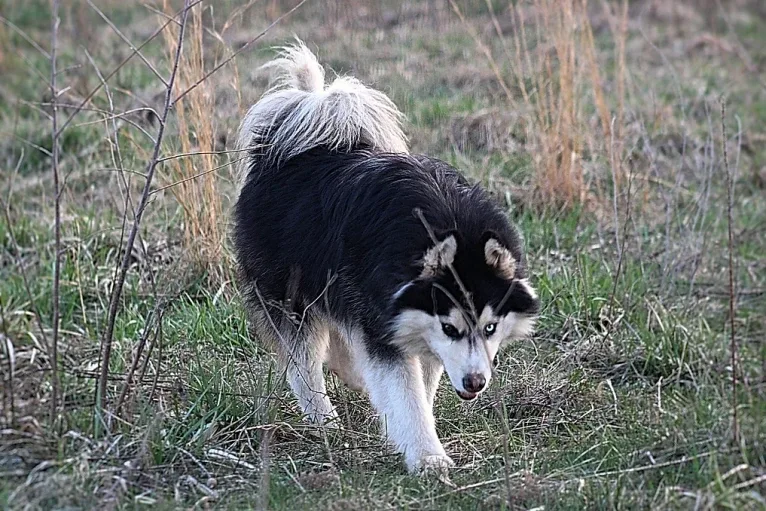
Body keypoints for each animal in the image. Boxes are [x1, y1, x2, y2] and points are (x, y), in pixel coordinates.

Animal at [234, 42, 540, 474]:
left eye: (491, 327)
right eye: (451, 328)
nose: (475, 383)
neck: (448, 224)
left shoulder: (410, 324)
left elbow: (420, 383)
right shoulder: (390, 320)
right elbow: (405, 394)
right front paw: (427, 456)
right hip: (291, 291)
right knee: (303, 363)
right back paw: (324, 417)